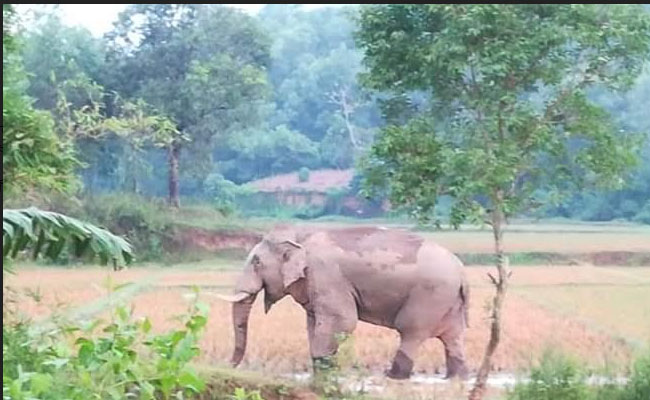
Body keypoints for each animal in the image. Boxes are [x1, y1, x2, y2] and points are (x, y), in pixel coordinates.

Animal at [216, 227, 466, 380]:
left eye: (256, 262)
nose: (228, 366)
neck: (299, 235)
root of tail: (461, 270)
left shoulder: (326, 275)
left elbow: (342, 320)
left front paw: (323, 371)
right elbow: (313, 322)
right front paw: (320, 374)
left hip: (429, 295)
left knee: (410, 331)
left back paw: (393, 376)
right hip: (448, 300)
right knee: (452, 337)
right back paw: (456, 377)